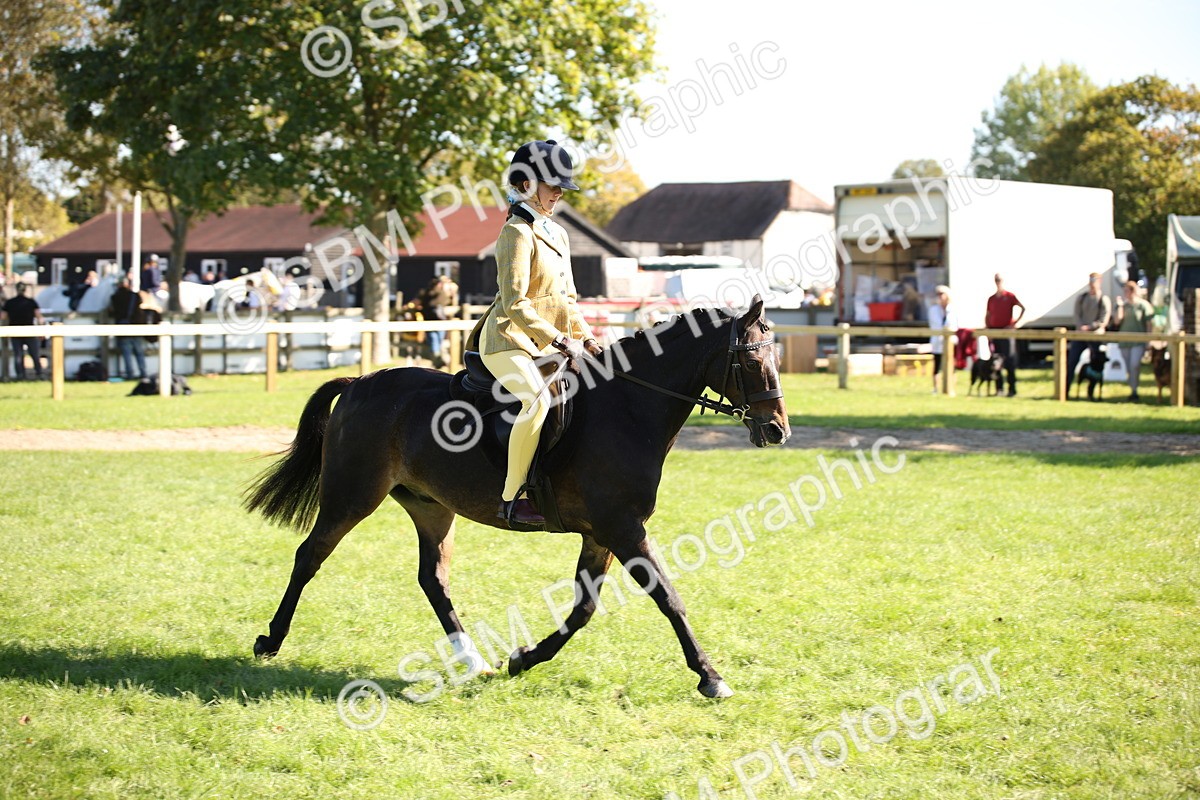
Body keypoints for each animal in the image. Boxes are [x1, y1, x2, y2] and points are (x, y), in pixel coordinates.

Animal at [244, 295, 790, 698]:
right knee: (310, 555)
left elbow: (583, 609)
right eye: (751, 358)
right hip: (353, 495)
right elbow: (668, 598)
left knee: (433, 579)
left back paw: (473, 660)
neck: (629, 407)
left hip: (431, 506)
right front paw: (711, 677)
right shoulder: (623, 528)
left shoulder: (603, 534)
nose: (777, 430)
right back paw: (270, 640)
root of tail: (360, 382)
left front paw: (524, 659)